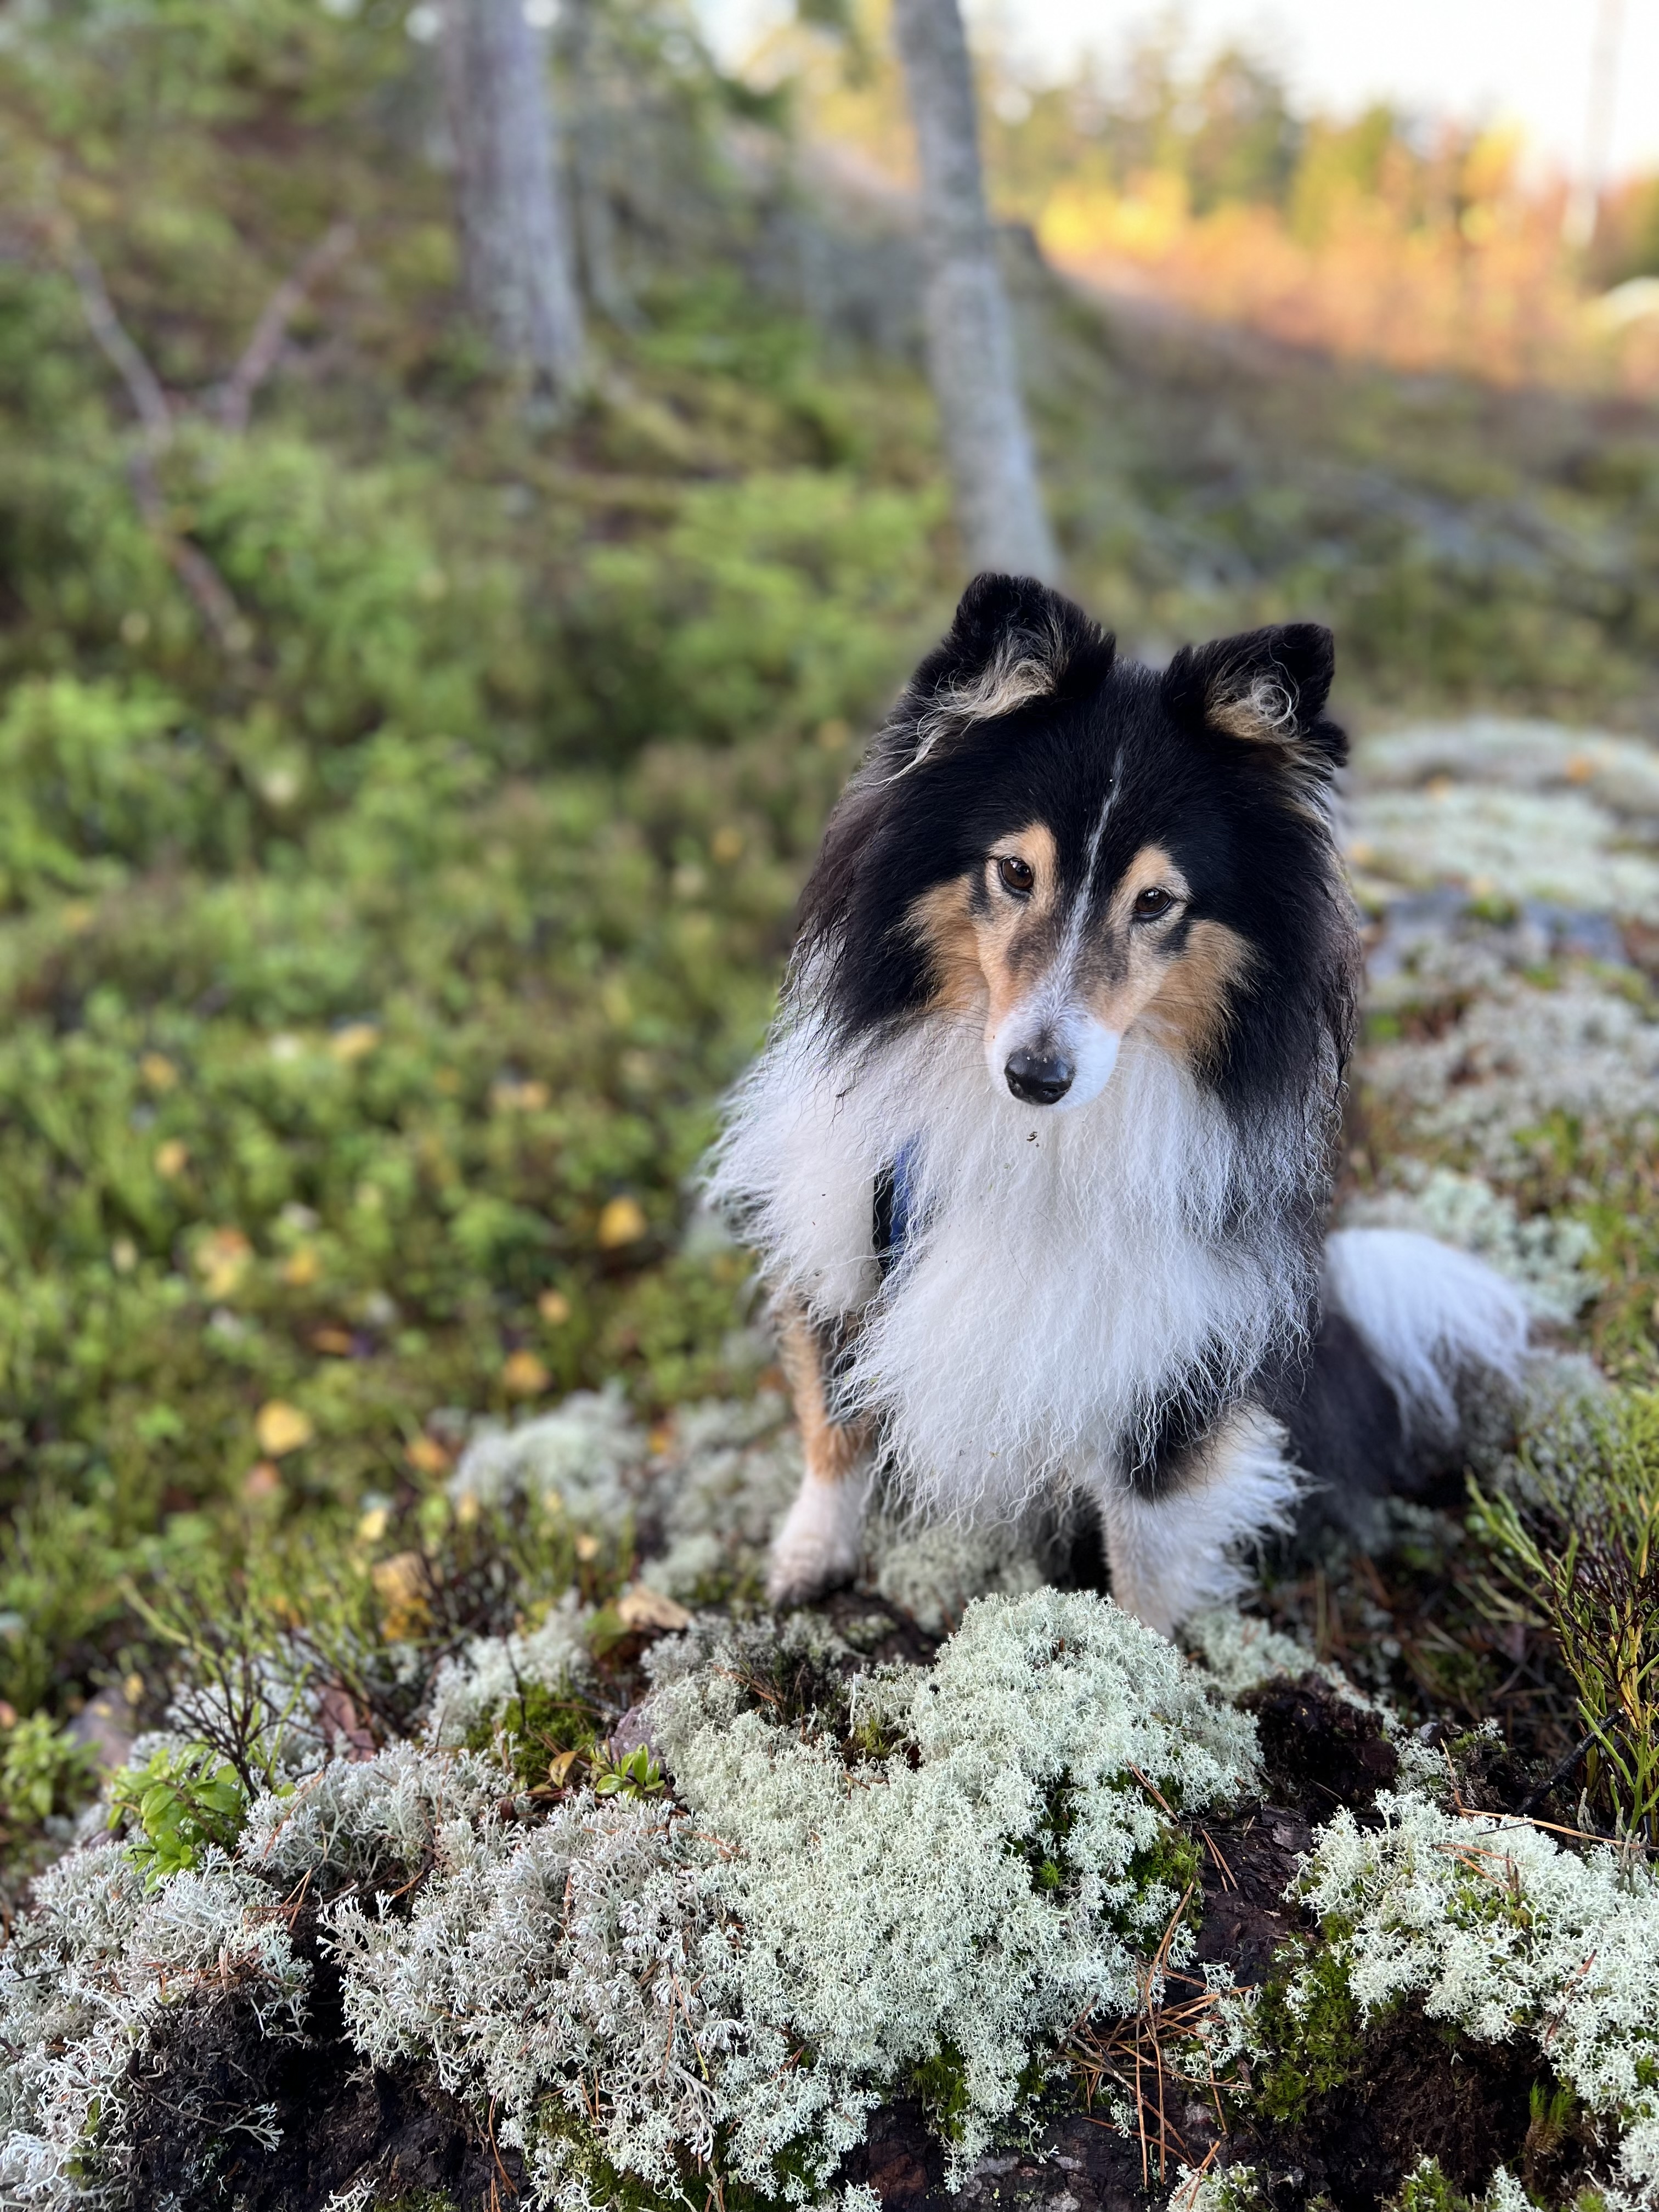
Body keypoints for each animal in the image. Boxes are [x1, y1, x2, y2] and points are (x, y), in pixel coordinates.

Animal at [708, 575, 1529, 1635]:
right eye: (1014, 872)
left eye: (1155, 902)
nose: (1035, 1074)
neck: (1038, 1138)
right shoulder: (846, 1233)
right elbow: (834, 1421)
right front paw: (807, 1557)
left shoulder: (1173, 1349)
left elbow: (1146, 1538)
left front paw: (1142, 1657)